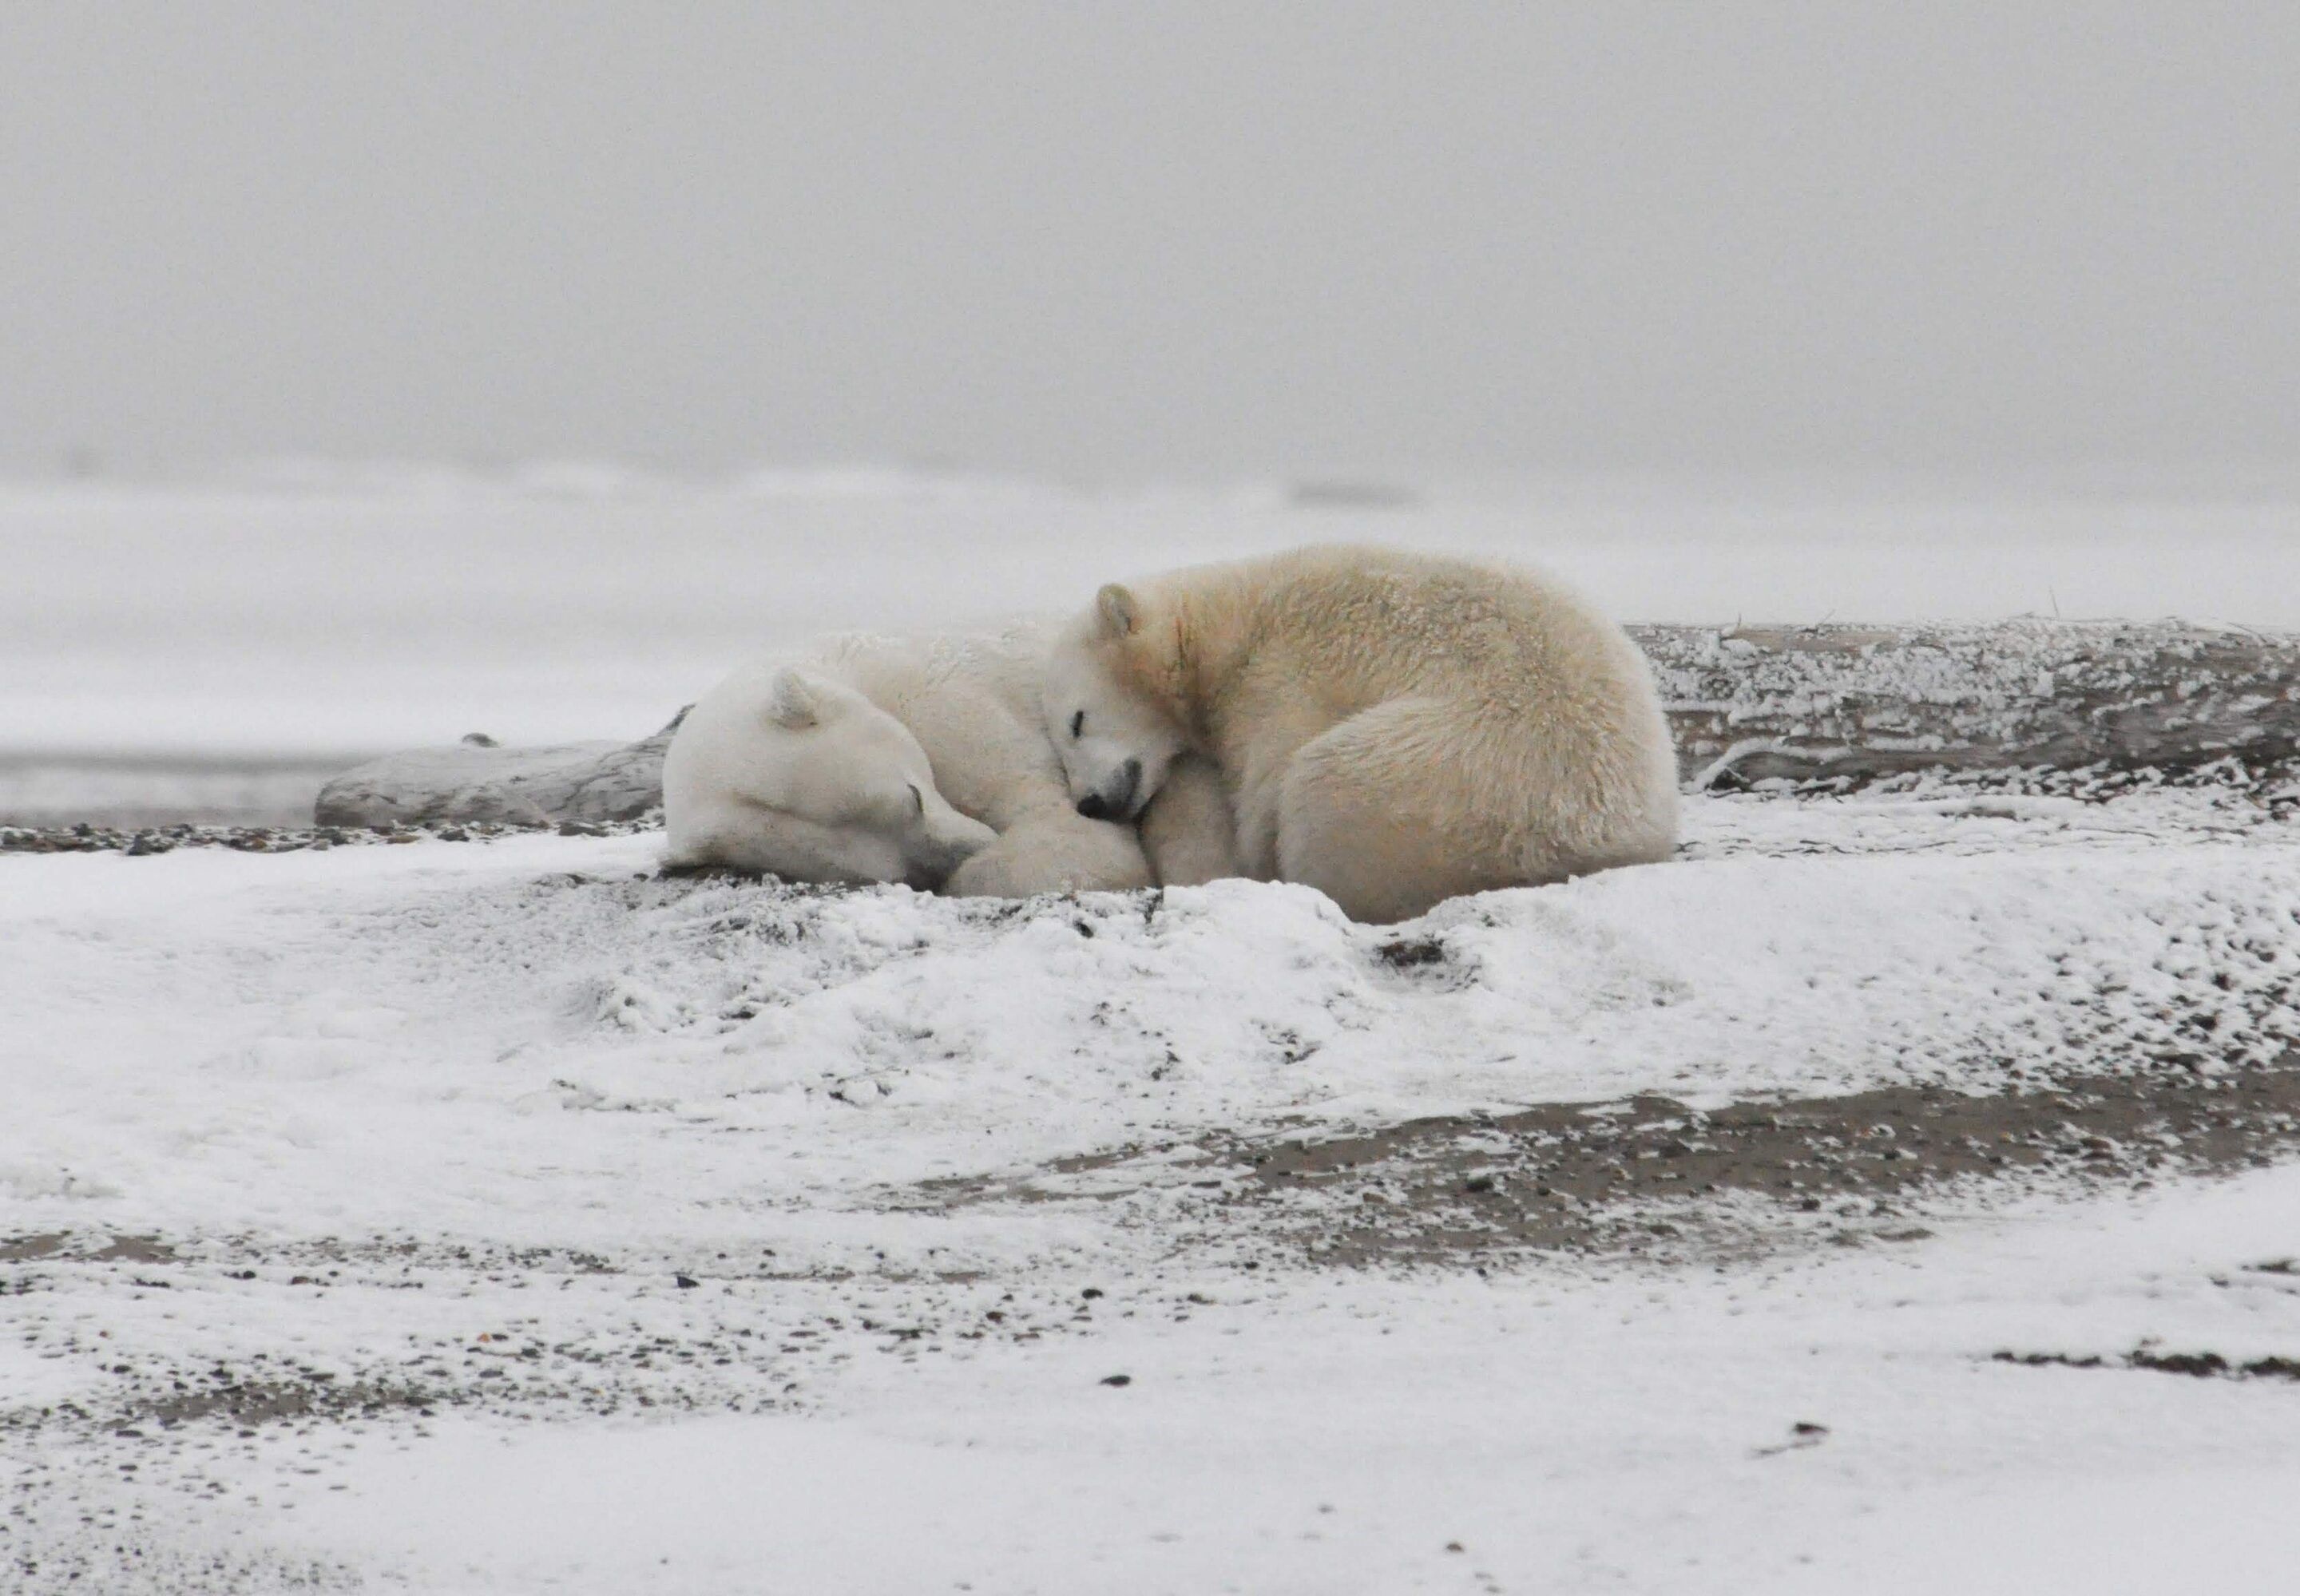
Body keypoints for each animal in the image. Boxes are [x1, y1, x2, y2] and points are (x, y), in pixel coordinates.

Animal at [1039, 547, 1674, 924]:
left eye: (1077, 721)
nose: (1091, 803)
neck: (1231, 620)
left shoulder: (1281, 675)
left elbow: (1265, 783)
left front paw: (1244, 856)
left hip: (1453, 765)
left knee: (1322, 781)